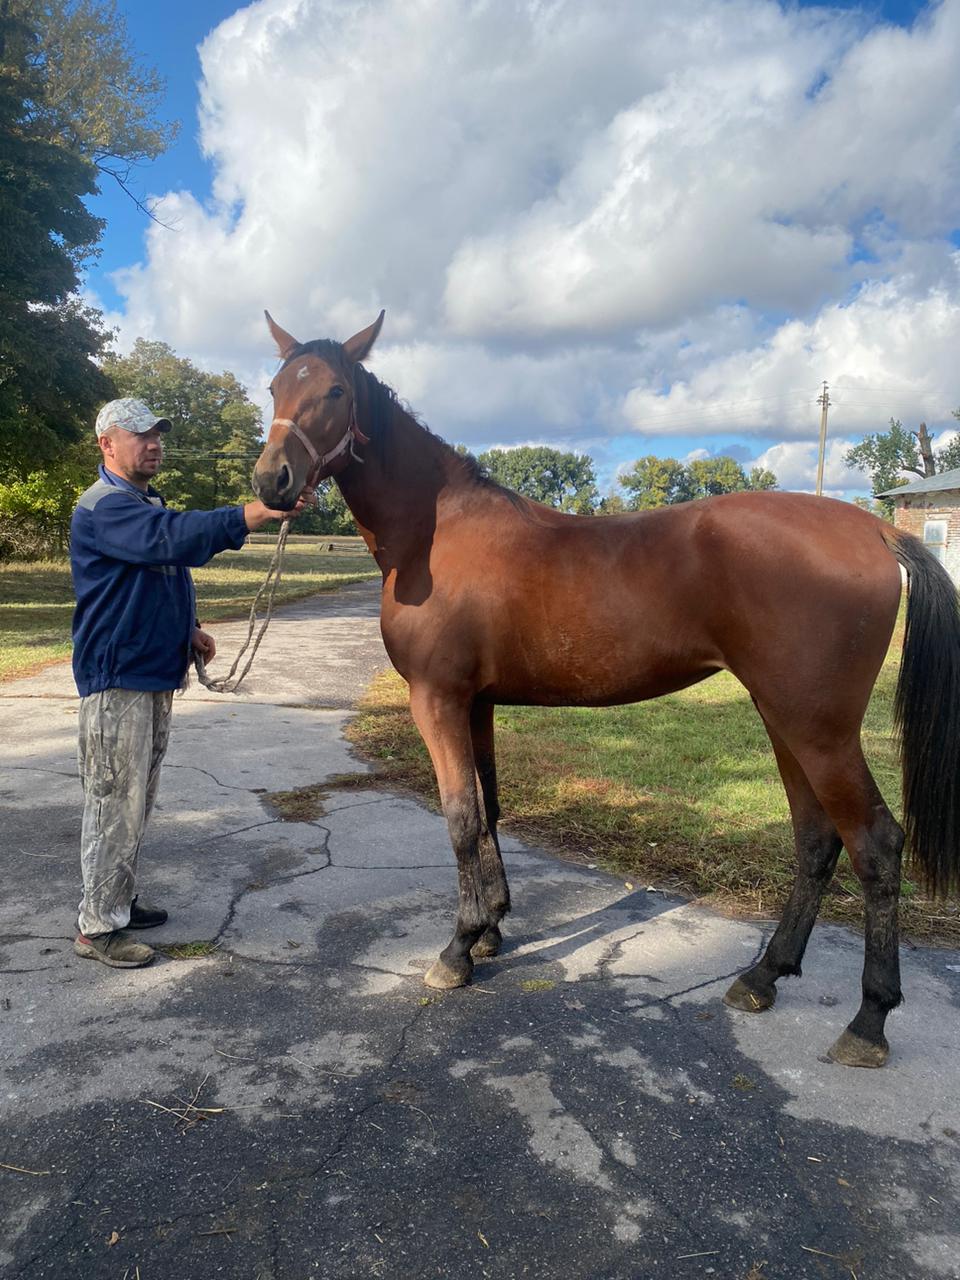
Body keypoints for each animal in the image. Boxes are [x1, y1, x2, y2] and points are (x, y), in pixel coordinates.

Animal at [253, 312, 960, 1070]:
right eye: (274, 387)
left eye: (334, 390)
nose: (272, 481)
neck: (436, 535)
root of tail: (874, 527)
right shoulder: (477, 702)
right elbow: (491, 807)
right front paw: (493, 928)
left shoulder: (437, 699)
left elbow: (461, 817)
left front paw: (458, 948)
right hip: (785, 720)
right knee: (817, 842)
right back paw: (763, 976)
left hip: (817, 729)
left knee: (875, 845)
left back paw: (868, 1020)